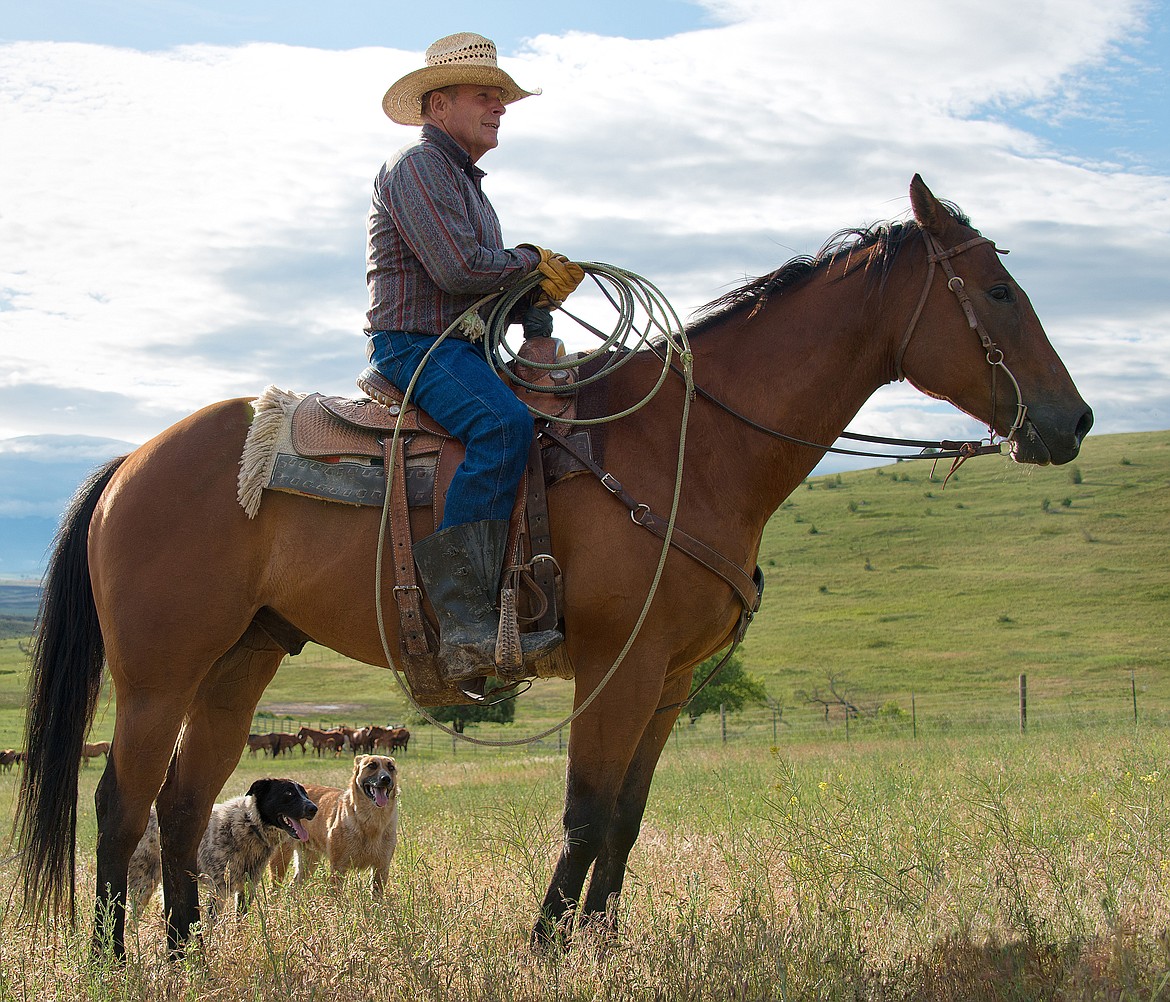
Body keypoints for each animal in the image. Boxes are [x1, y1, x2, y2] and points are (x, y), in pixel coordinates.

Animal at [128, 777, 315, 917]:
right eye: (288, 793)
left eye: (305, 793)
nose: (314, 809)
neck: (249, 824)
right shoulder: (219, 890)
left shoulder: (247, 887)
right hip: (142, 886)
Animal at [271, 753, 400, 894]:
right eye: (372, 765)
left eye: (391, 767)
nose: (386, 779)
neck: (371, 820)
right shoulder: (339, 866)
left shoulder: (381, 867)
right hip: (281, 859)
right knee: (274, 889)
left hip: (309, 860)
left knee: (293, 886)